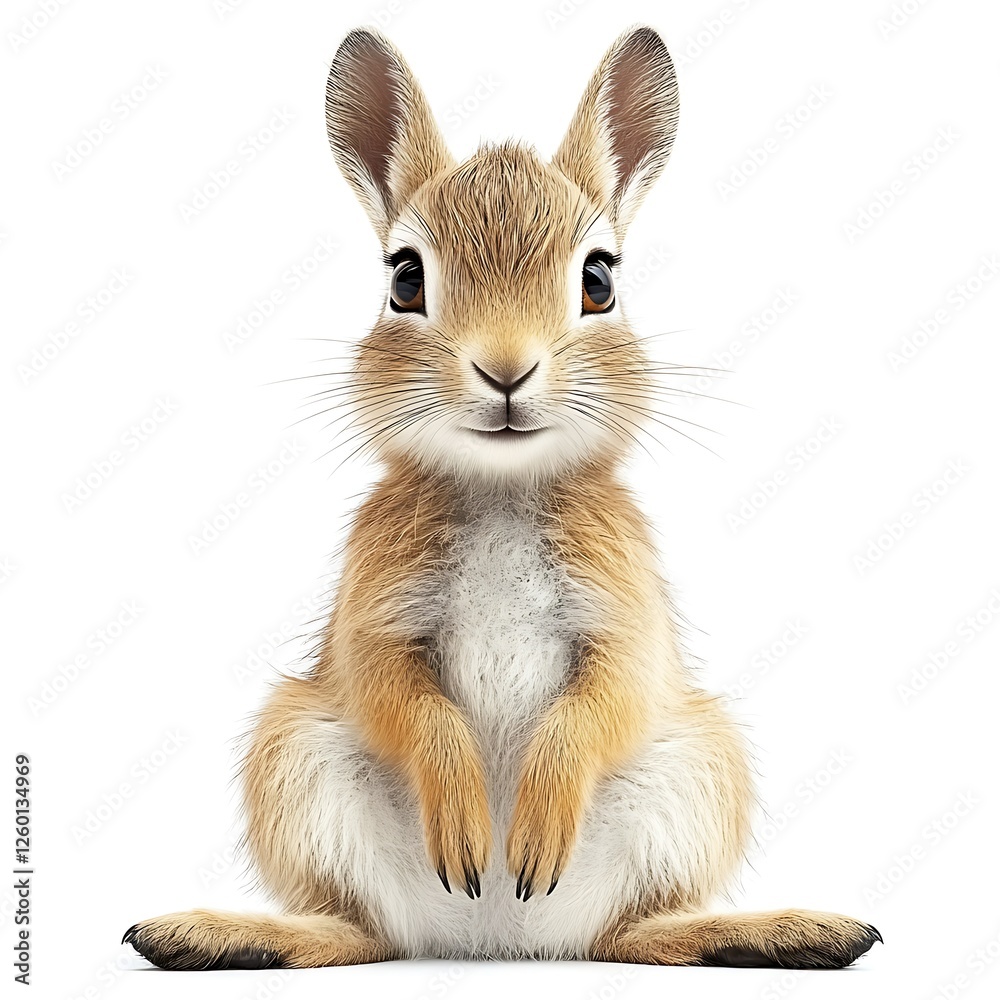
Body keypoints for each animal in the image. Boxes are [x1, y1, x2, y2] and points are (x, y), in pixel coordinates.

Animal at [123, 25, 882, 970]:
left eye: (599, 280)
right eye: (405, 279)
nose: (507, 368)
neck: (501, 490)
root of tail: (493, 941)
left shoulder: (622, 623)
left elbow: (602, 702)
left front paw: (533, 829)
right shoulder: (378, 620)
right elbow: (402, 700)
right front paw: (465, 822)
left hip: (697, 767)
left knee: (631, 932)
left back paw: (778, 934)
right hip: (296, 751)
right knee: (355, 930)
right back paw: (221, 936)